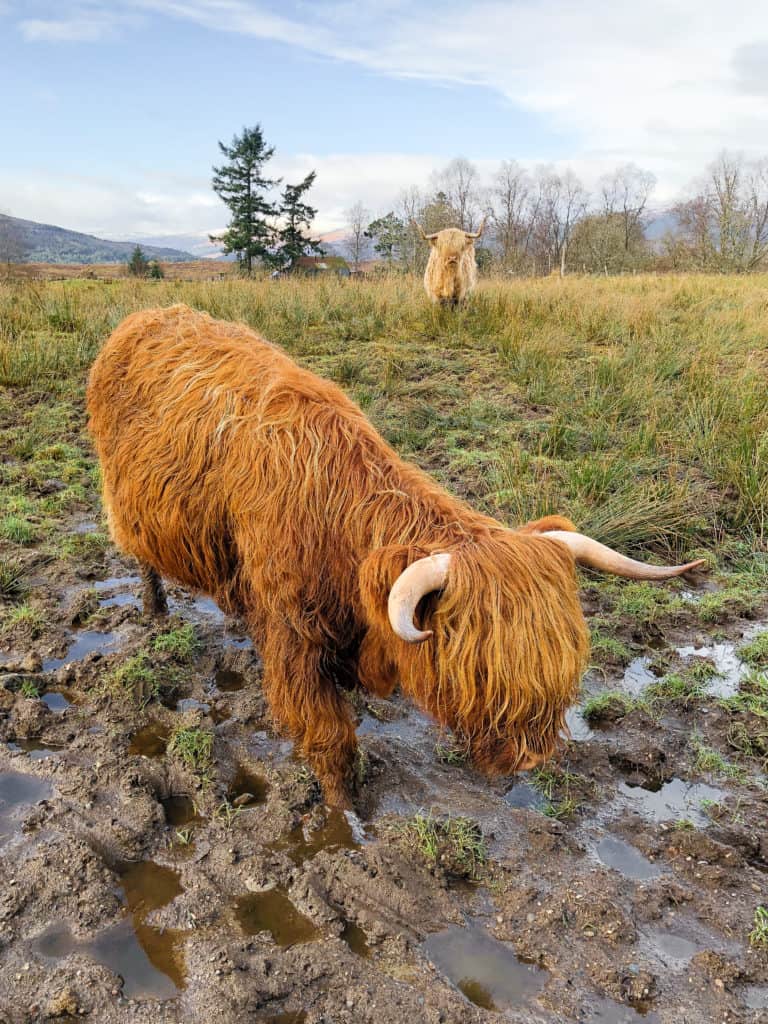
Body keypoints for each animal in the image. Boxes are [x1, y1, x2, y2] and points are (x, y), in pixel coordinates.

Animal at [87, 303, 708, 806]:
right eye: (481, 670)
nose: (531, 758)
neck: (337, 517)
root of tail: (146, 316)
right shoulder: (293, 635)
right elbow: (329, 737)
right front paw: (345, 810)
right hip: (127, 502)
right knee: (141, 558)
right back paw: (154, 609)